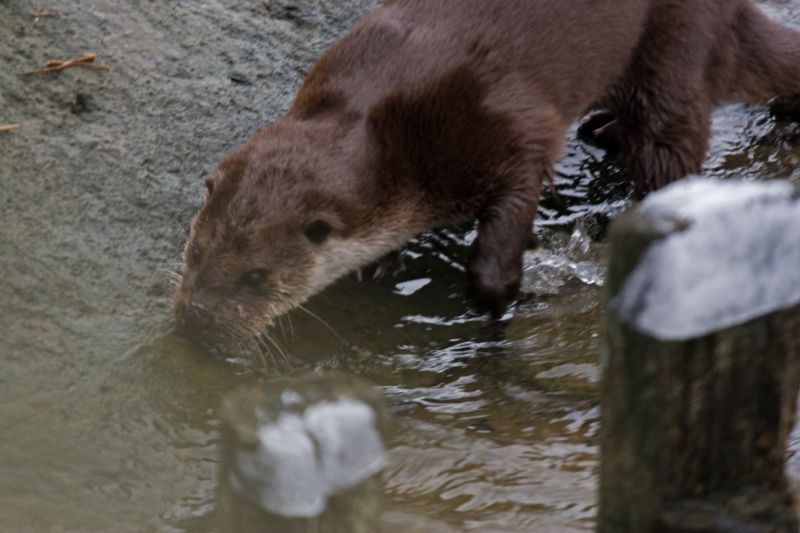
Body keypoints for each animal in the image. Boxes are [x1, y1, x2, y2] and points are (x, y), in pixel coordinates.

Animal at [173, 0, 800, 342]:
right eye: (196, 253)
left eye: (257, 277)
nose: (196, 323)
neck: (385, 126)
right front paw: (381, 261)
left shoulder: (507, 127)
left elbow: (513, 204)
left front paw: (496, 300)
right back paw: (603, 128)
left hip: (674, 51)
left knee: (672, 150)